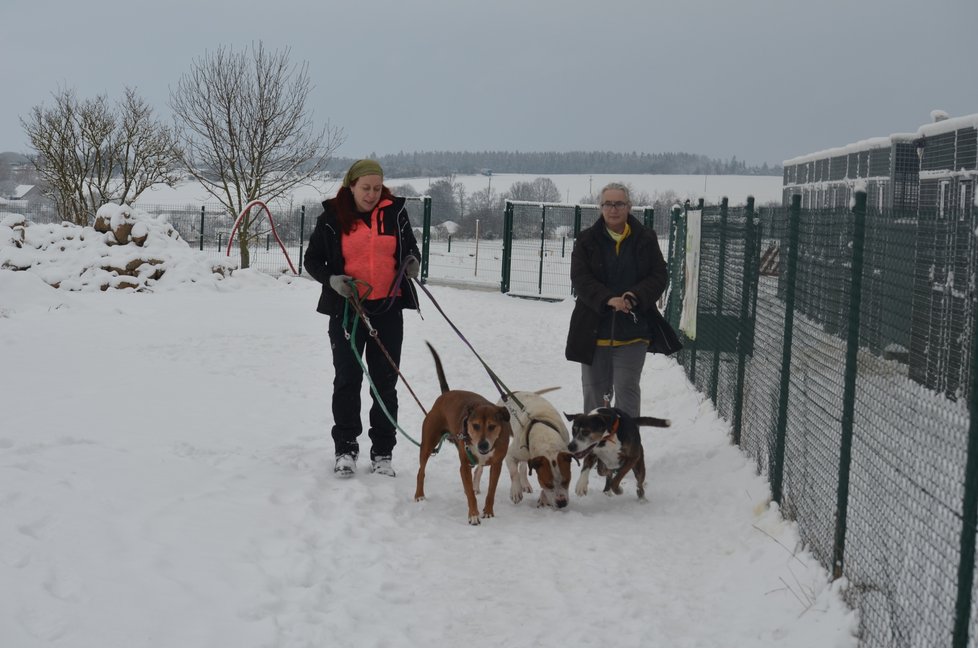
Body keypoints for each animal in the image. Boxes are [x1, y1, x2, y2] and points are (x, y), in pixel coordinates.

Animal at [412, 342, 510, 524]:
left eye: (492, 426)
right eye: (475, 425)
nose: (483, 445)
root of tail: (445, 394)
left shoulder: (497, 464)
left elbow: (491, 491)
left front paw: (488, 511)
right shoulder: (464, 465)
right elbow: (470, 493)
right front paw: (473, 515)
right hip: (427, 443)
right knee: (421, 471)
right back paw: (419, 494)